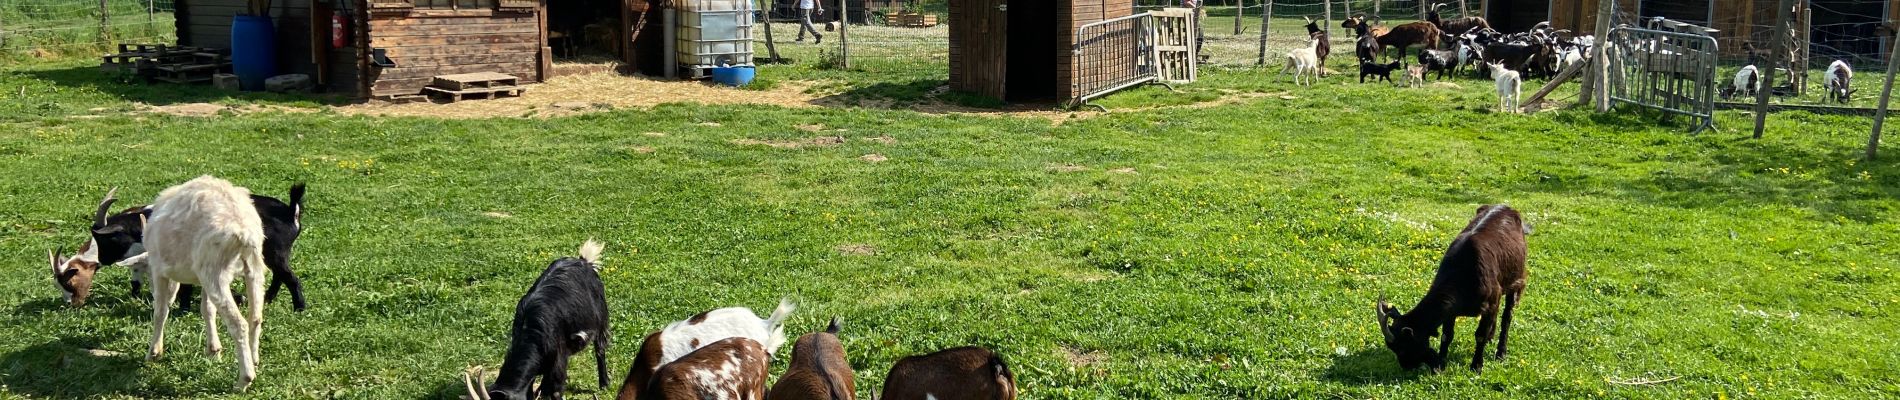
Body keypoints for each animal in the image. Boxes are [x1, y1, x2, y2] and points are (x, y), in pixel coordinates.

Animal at [53, 184, 307, 312]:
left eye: (106, 240)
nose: (102, 260)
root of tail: (290, 212)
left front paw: (181, 307)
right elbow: (137, 280)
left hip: (274, 252)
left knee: (290, 277)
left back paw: (299, 308)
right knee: (279, 275)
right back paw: (269, 298)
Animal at [132, 176, 267, 392]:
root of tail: (243, 230)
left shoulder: (160, 270)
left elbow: (161, 310)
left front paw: (153, 353)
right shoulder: (201, 279)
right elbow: (207, 310)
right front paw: (214, 351)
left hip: (215, 269)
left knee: (239, 324)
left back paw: (243, 380)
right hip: (251, 267)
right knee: (255, 317)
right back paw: (254, 361)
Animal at [465, 240, 608, 400]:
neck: (529, 330)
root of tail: (584, 261)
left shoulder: (559, 357)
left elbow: (556, 390)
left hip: (601, 317)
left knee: (600, 349)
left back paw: (604, 384)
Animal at [1375, 204, 1535, 373]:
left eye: (1403, 348)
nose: (1406, 367)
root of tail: (1507, 208)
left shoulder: (1490, 301)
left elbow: (1480, 335)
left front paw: (1476, 366)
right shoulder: (1451, 310)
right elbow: (1447, 335)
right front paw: (1441, 362)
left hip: (1517, 280)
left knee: (1507, 317)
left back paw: (1501, 353)